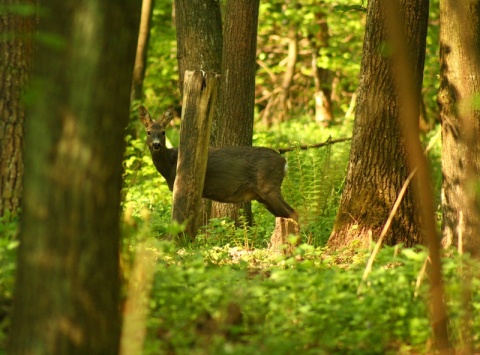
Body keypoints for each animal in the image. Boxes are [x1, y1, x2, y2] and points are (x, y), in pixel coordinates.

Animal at [138, 105, 296, 222]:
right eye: (148, 132)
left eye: (163, 132)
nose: (156, 144)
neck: (171, 163)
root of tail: (284, 162)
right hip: (261, 196)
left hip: (268, 186)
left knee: (294, 213)